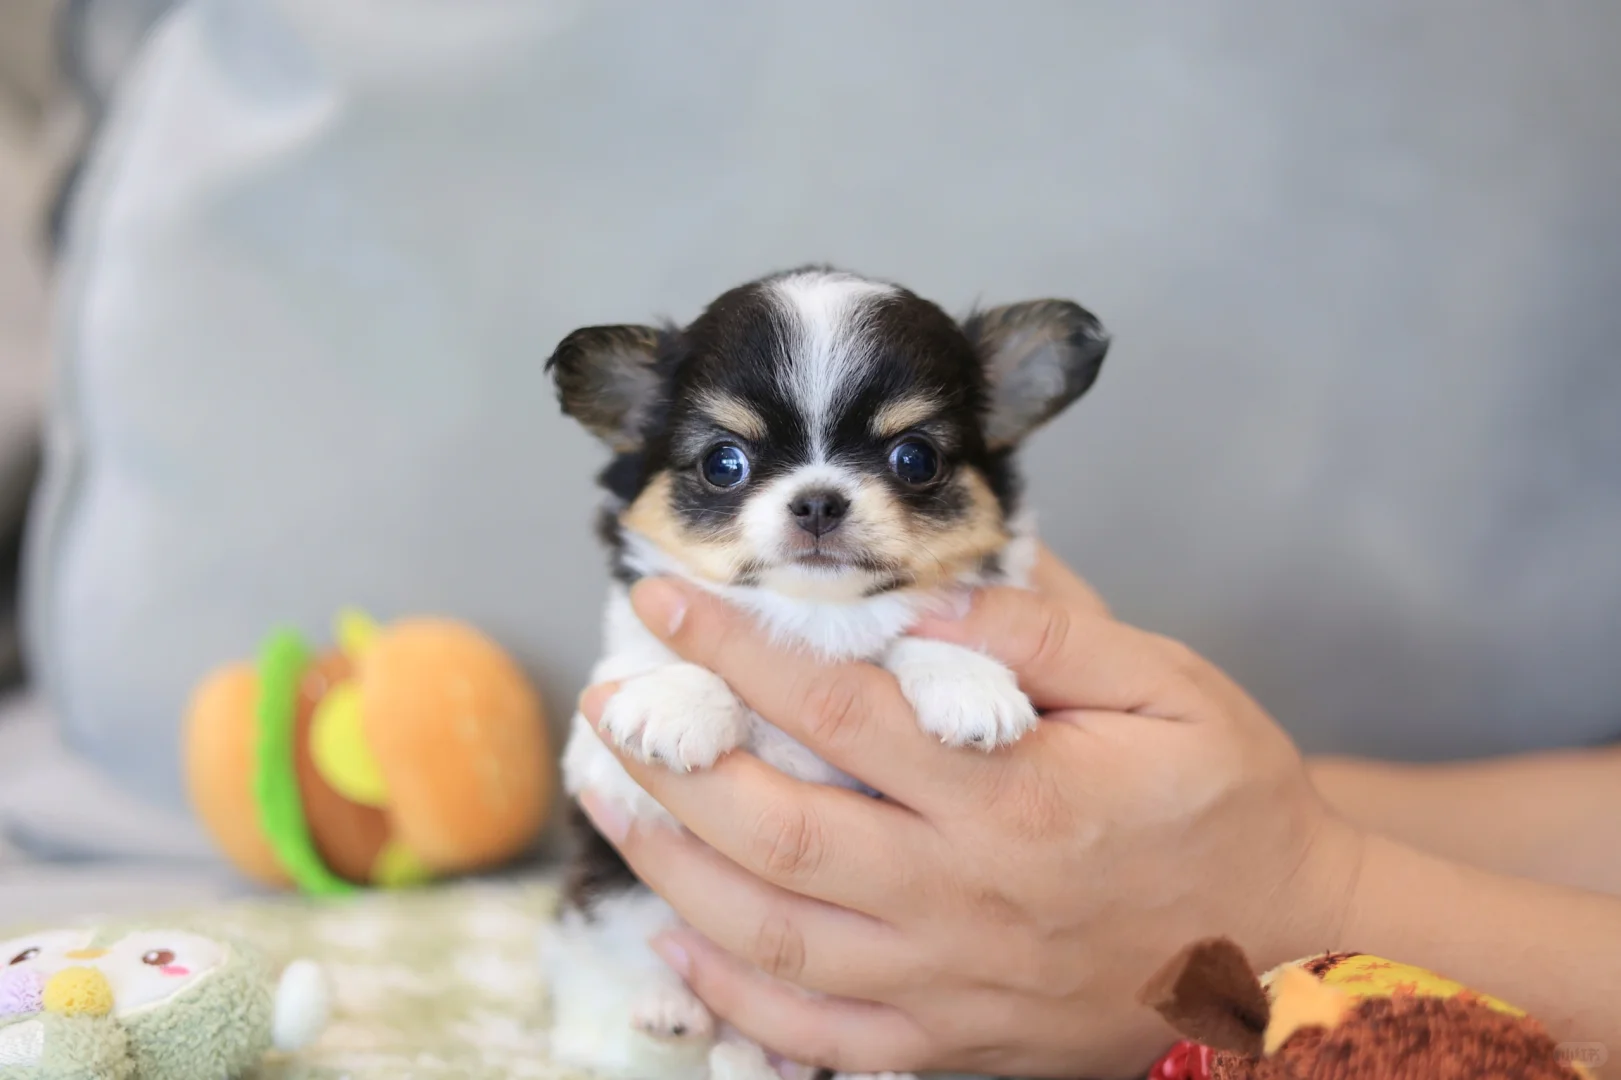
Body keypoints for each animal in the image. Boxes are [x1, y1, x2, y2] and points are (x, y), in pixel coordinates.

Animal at [538, 267, 1108, 1076]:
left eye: (915, 459)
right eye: (723, 463)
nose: (816, 500)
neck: (817, 620)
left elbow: (910, 631)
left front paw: (965, 680)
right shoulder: (599, 764)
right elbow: (665, 665)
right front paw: (677, 701)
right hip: (613, 908)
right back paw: (664, 1008)